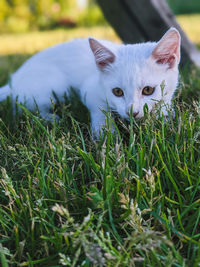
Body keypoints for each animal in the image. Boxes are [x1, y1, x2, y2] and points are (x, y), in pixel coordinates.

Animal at [0, 27, 180, 137]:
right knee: (22, 107)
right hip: (55, 87)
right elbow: (99, 110)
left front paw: (164, 117)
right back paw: (51, 118)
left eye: (148, 90)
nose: (132, 112)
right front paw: (106, 134)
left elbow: (165, 107)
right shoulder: (90, 90)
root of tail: (14, 79)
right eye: (117, 92)